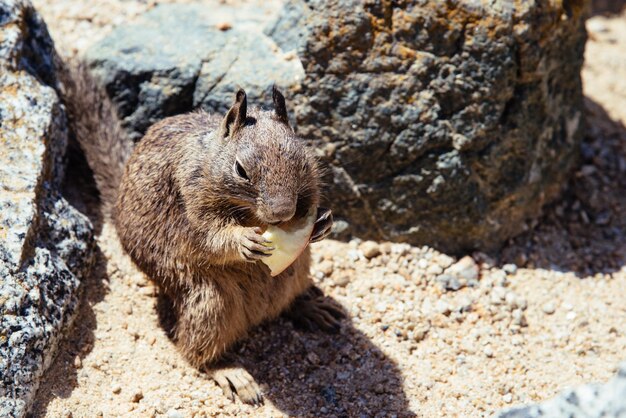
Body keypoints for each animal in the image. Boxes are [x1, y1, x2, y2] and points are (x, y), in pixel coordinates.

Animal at [59, 62, 342, 404]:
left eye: (301, 159)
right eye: (241, 170)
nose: (282, 213)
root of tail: (257, 316)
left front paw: (323, 222)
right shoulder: (191, 202)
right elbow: (209, 236)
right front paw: (243, 241)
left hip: (297, 272)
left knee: (287, 302)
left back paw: (315, 308)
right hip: (209, 303)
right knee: (194, 351)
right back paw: (233, 374)